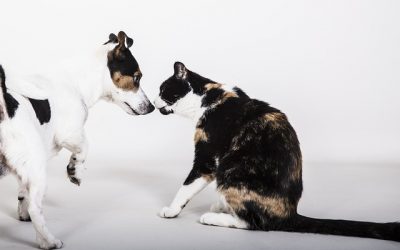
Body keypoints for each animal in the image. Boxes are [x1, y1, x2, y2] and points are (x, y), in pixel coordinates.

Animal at [0, 30, 154, 248]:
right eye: (137, 77)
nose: (151, 107)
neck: (76, 82)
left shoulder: (26, 169)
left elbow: (23, 192)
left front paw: (21, 210)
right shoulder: (70, 134)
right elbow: (84, 148)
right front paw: (74, 170)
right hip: (39, 171)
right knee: (36, 210)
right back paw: (49, 241)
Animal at [153, 61, 400, 242]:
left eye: (163, 90)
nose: (154, 102)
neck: (208, 97)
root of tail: (289, 215)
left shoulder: (206, 158)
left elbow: (185, 188)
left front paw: (171, 210)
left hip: (230, 173)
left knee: (255, 224)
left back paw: (213, 216)